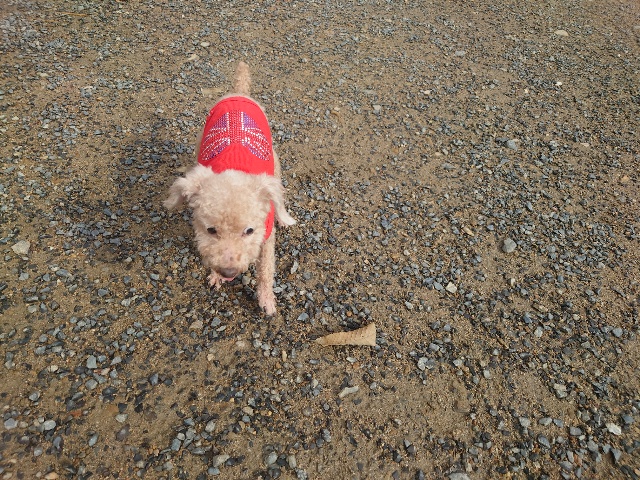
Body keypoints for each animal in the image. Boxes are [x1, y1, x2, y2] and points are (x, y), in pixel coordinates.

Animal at [164, 62, 295, 315]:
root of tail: (239, 92)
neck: (234, 168)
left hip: (274, 160)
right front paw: (215, 276)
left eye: (249, 231)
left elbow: (266, 270)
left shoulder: (266, 236)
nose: (229, 273)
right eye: (211, 230)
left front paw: (266, 299)